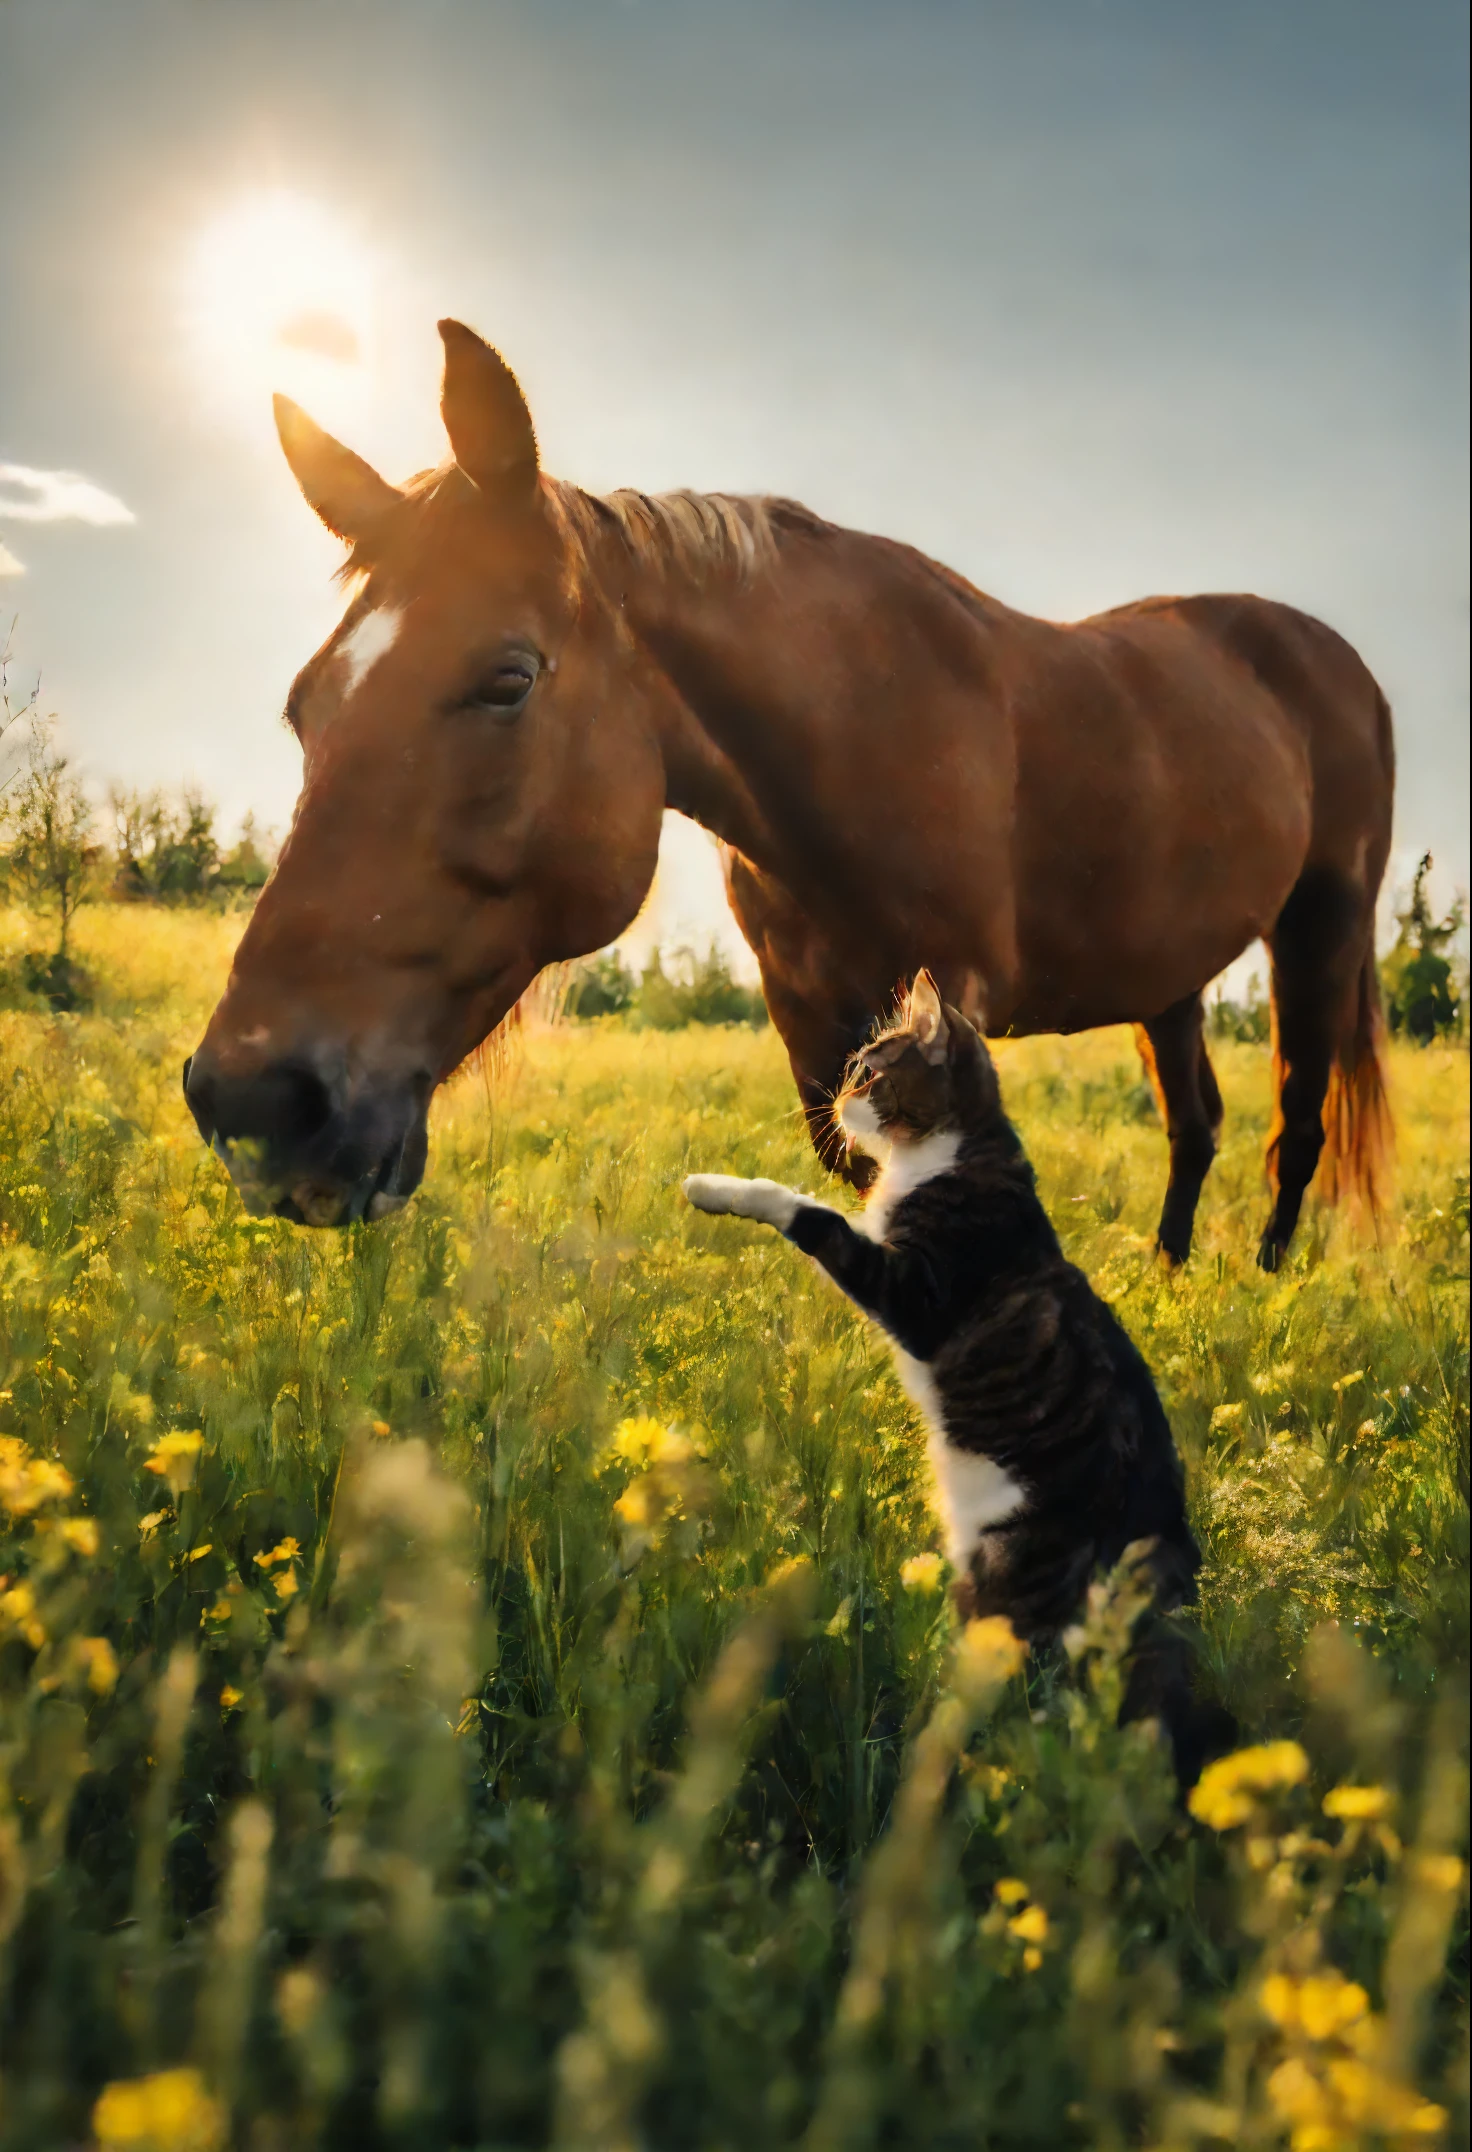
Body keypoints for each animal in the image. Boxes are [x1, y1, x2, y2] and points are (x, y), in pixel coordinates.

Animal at [183, 316, 1394, 1256]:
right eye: (305, 705)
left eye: (507, 679)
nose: (253, 1101)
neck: (865, 735)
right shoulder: (805, 1016)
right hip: (1169, 979)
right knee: (1196, 1125)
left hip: (1320, 929)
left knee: (1296, 1125)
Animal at [680, 972, 1230, 1781]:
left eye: (870, 1072)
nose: (834, 1099)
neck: (946, 1155)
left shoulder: (916, 1292)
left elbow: (811, 1213)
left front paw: (718, 1187)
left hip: (1010, 1595)